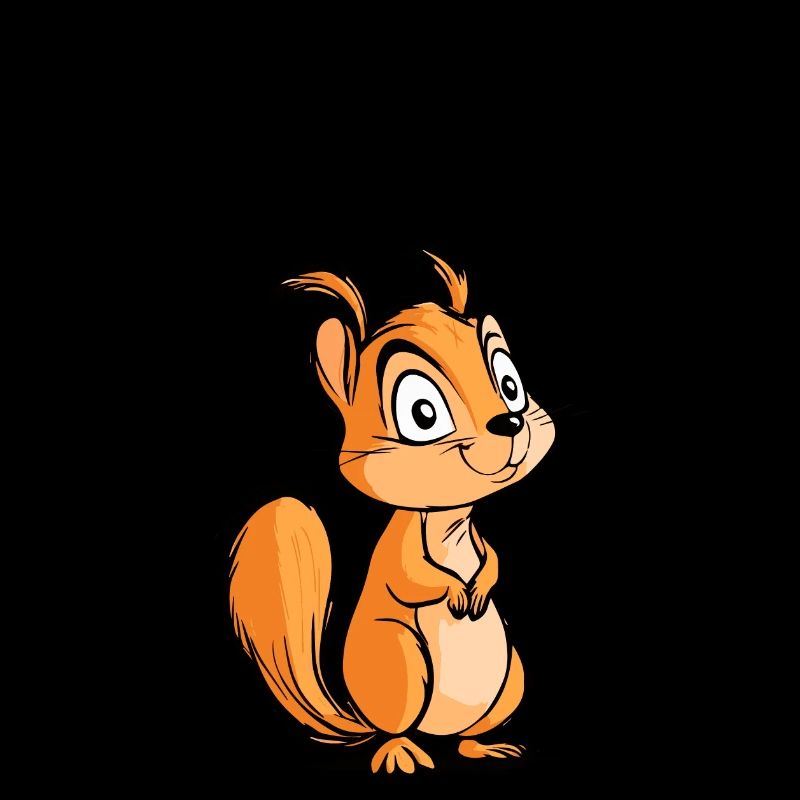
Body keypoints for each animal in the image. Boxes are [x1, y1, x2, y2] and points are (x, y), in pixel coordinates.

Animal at [229, 252, 555, 773]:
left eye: (510, 383)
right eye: (423, 413)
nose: (510, 420)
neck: (448, 516)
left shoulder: (479, 537)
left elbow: (494, 558)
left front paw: (480, 585)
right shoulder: (400, 544)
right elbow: (412, 577)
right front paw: (455, 589)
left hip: (511, 677)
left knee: (466, 736)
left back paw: (483, 747)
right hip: (401, 659)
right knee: (395, 729)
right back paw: (401, 753)